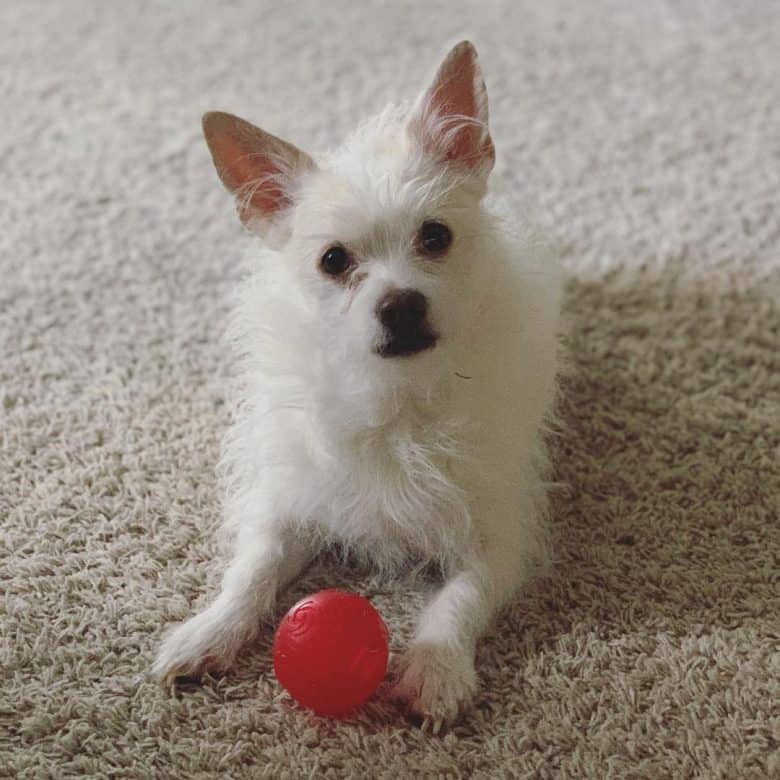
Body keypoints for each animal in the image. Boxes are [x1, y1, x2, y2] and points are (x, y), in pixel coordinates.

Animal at [154, 41, 560, 724]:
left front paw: (436, 670)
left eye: (436, 236)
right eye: (334, 261)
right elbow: (251, 571)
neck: (399, 396)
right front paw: (209, 631)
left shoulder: (497, 539)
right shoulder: (290, 503)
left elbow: (458, 602)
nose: (400, 304)